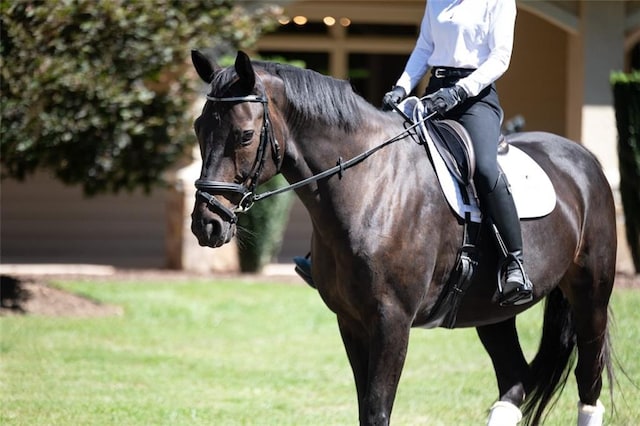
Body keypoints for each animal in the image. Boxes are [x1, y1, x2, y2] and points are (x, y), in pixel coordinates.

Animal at [189, 50, 616, 426]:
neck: (370, 186)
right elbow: (365, 410)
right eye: (198, 128)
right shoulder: (351, 321)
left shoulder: (391, 321)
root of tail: (583, 159)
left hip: (590, 295)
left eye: (245, 135)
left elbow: (378, 411)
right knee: (513, 384)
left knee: (588, 381)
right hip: (492, 311)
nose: (206, 224)